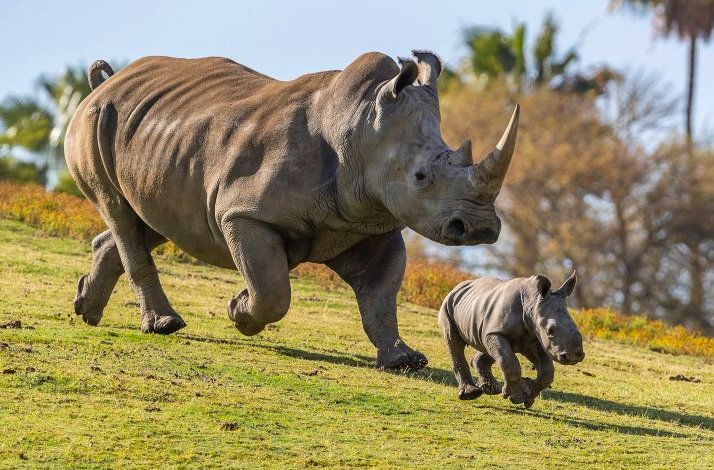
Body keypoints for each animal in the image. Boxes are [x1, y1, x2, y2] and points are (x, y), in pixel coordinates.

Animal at [65, 51, 519, 371]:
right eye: (421, 177)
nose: (479, 228)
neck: (360, 129)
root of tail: (106, 84)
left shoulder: (369, 223)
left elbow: (381, 296)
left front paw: (404, 360)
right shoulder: (244, 213)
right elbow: (272, 292)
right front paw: (239, 311)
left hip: (158, 138)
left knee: (154, 217)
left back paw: (86, 309)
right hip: (93, 121)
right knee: (119, 211)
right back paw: (164, 325)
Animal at [438, 272, 584, 406]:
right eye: (550, 330)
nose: (574, 356)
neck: (532, 303)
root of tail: (459, 286)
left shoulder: (534, 338)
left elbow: (547, 372)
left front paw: (529, 398)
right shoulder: (500, 332)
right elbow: (510, 363)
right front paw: (517, 397)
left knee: (487, 345)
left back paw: (491, 389)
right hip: (448, 304)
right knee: (454, 341)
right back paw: (470, 394)